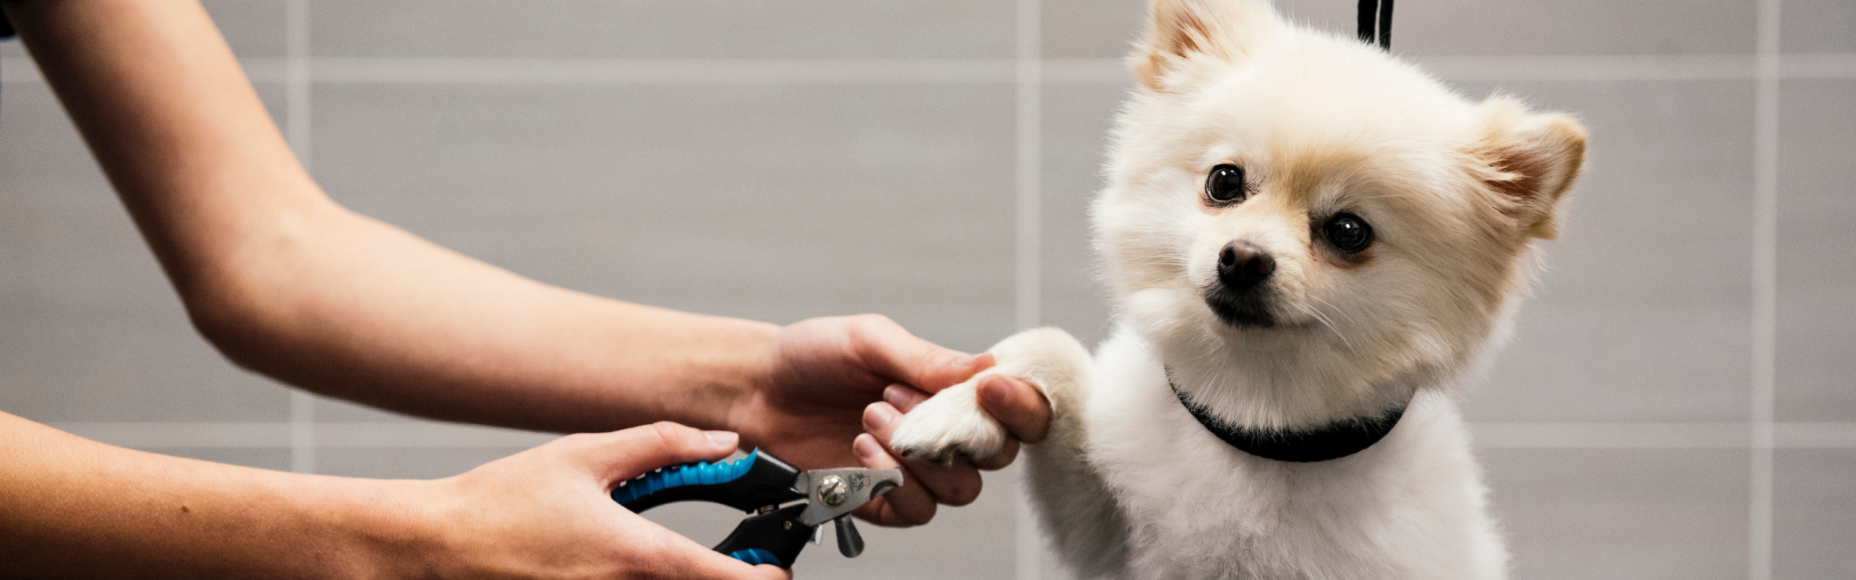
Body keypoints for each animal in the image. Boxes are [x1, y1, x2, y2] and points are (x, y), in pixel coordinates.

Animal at [888, 1, 1588, 578]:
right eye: (1224, 181)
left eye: (1348, 231)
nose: (1244, 259)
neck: (1252, 415)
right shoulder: (1108, 539)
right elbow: (1050, 344)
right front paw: (959, 407)